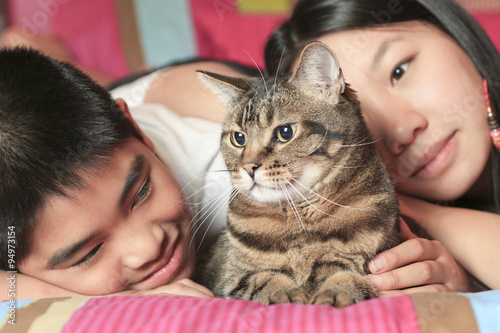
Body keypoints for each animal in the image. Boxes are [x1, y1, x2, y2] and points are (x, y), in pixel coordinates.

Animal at [194, 41, 398, 306]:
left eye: (285, 132)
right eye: (238, 138)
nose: (248, 167)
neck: (300, 219)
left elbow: (348, 276)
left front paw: (336, 293)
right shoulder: (227, 278)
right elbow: (261, 279)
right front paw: (286, 293)